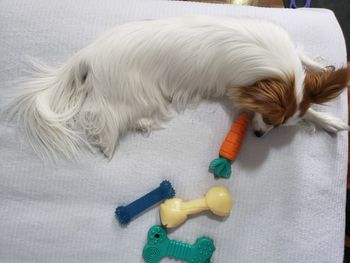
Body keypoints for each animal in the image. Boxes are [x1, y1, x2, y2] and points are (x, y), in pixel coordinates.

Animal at [4, 17, 348, 161]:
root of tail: (89, 52)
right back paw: (109, 141)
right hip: (136, 95)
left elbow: (307, 65)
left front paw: (329, 112)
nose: (259, 136)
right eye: (267, 119)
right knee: (99, 112)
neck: (274, 67)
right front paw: (327, 120)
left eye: (275, 126)